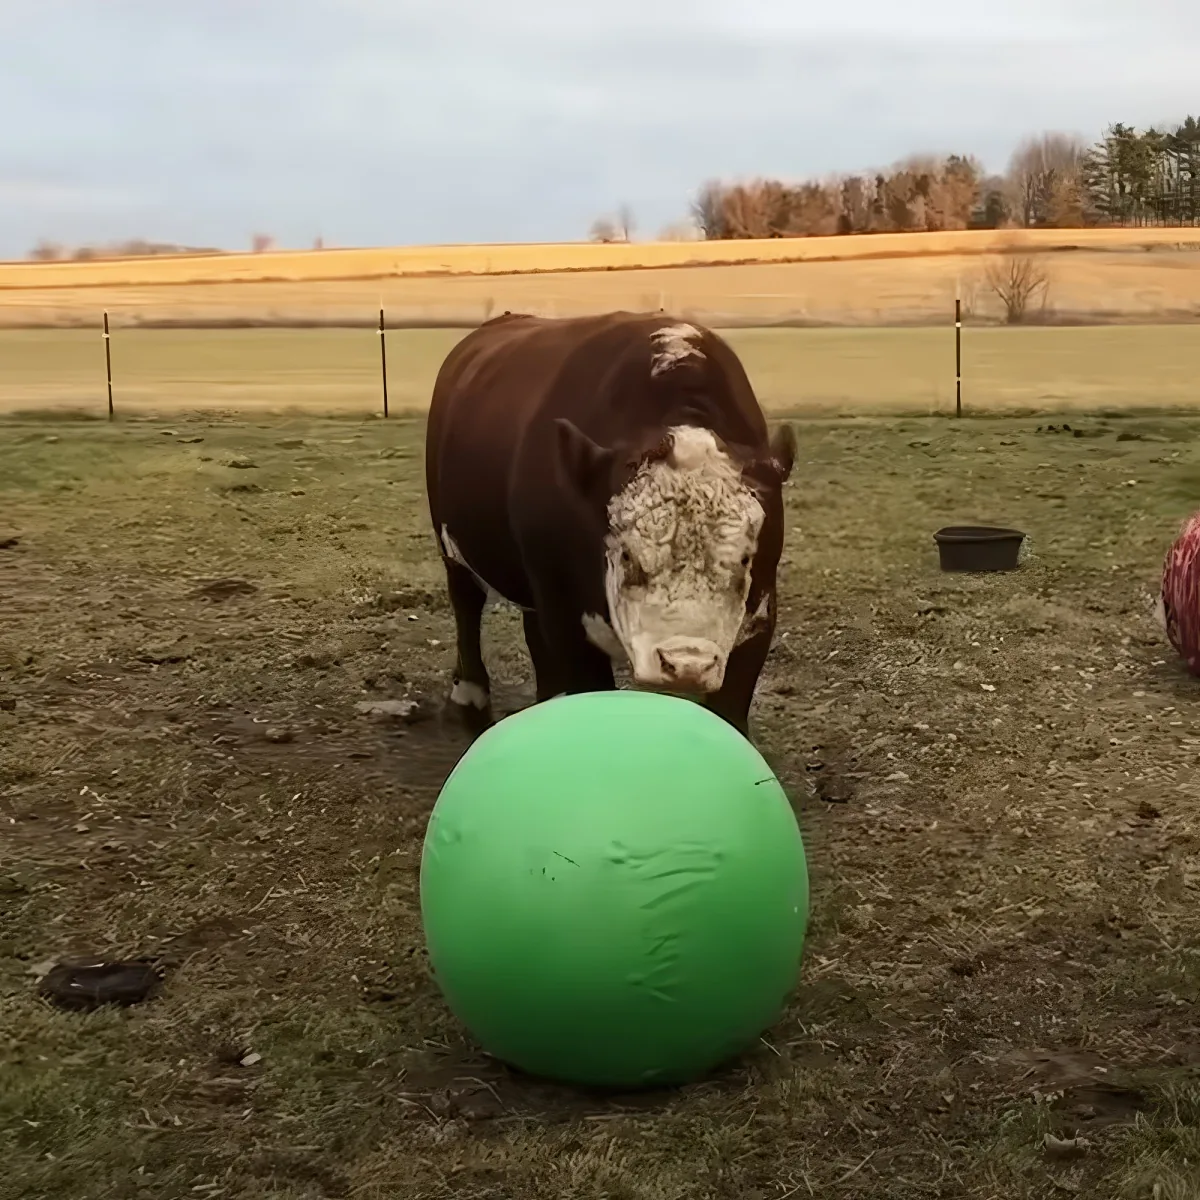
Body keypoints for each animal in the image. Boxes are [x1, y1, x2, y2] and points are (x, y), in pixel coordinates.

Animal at [423, 310, 796, 739]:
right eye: (628, 555)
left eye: (745, 559)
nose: (687, 663)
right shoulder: (566, 617)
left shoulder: (758, 620)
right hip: (453, 544)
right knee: (466, 601)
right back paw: (470, 695)